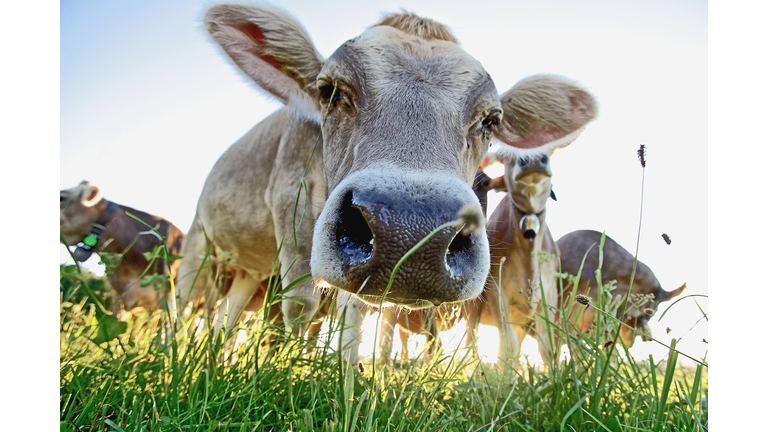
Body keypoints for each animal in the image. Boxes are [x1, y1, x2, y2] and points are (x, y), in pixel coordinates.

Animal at [176, 2, 600, 364]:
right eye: (330, 91)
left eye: (490, 121)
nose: (412, 232)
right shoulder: (289, 196)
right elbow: (300, 303)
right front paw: (287, 374)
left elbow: (355, 316)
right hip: (199, 237)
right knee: (186, 301)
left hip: (248, 270)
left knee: (226, 315)